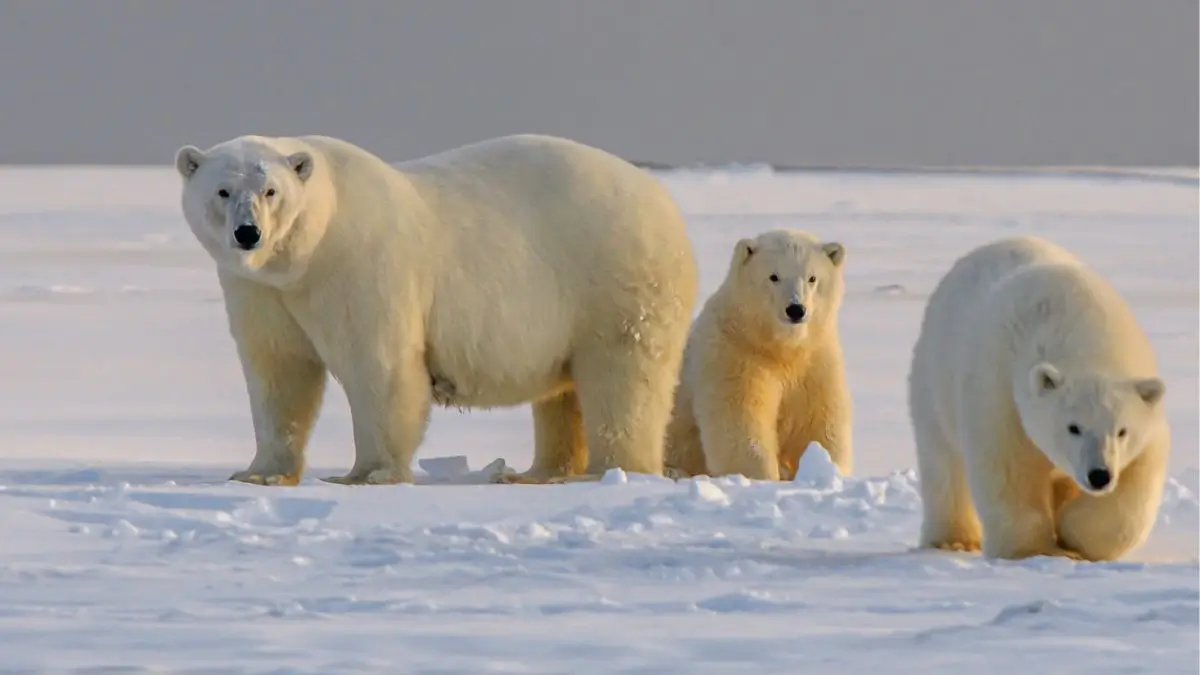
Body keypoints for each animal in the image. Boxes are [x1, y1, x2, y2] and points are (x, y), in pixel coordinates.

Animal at [173, 133, 699, 486]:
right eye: (222, 191)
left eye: (271, 191)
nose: (248, 233)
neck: (307, 253)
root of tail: (663, 201)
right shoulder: (260, 290)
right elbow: (278, 371)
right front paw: (259, 473)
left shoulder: (361, 266)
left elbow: (379, 367)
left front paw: (367, 474)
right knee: (562, 393)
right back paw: (535, 472)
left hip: (613, 280)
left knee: (622, 378)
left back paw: (611, 471)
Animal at [663, 228, 853, 481]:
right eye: (774, 276)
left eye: (812, 278)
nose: (796, 309)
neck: (778, 347)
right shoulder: (735, 354)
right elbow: (741, 422)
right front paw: (762, 477)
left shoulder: (815, 360)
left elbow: (820, 421)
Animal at [907, 235, 1170, 562]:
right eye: (1073, 427)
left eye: (1122, 431)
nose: (1099, 476)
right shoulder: (1001, 392)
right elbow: (1009, 469)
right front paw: (1033, 550)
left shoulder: (1146, 424)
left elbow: (1134, 488)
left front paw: (1072, 534)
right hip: (934, 378)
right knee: (943, 462)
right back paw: (953, 540)